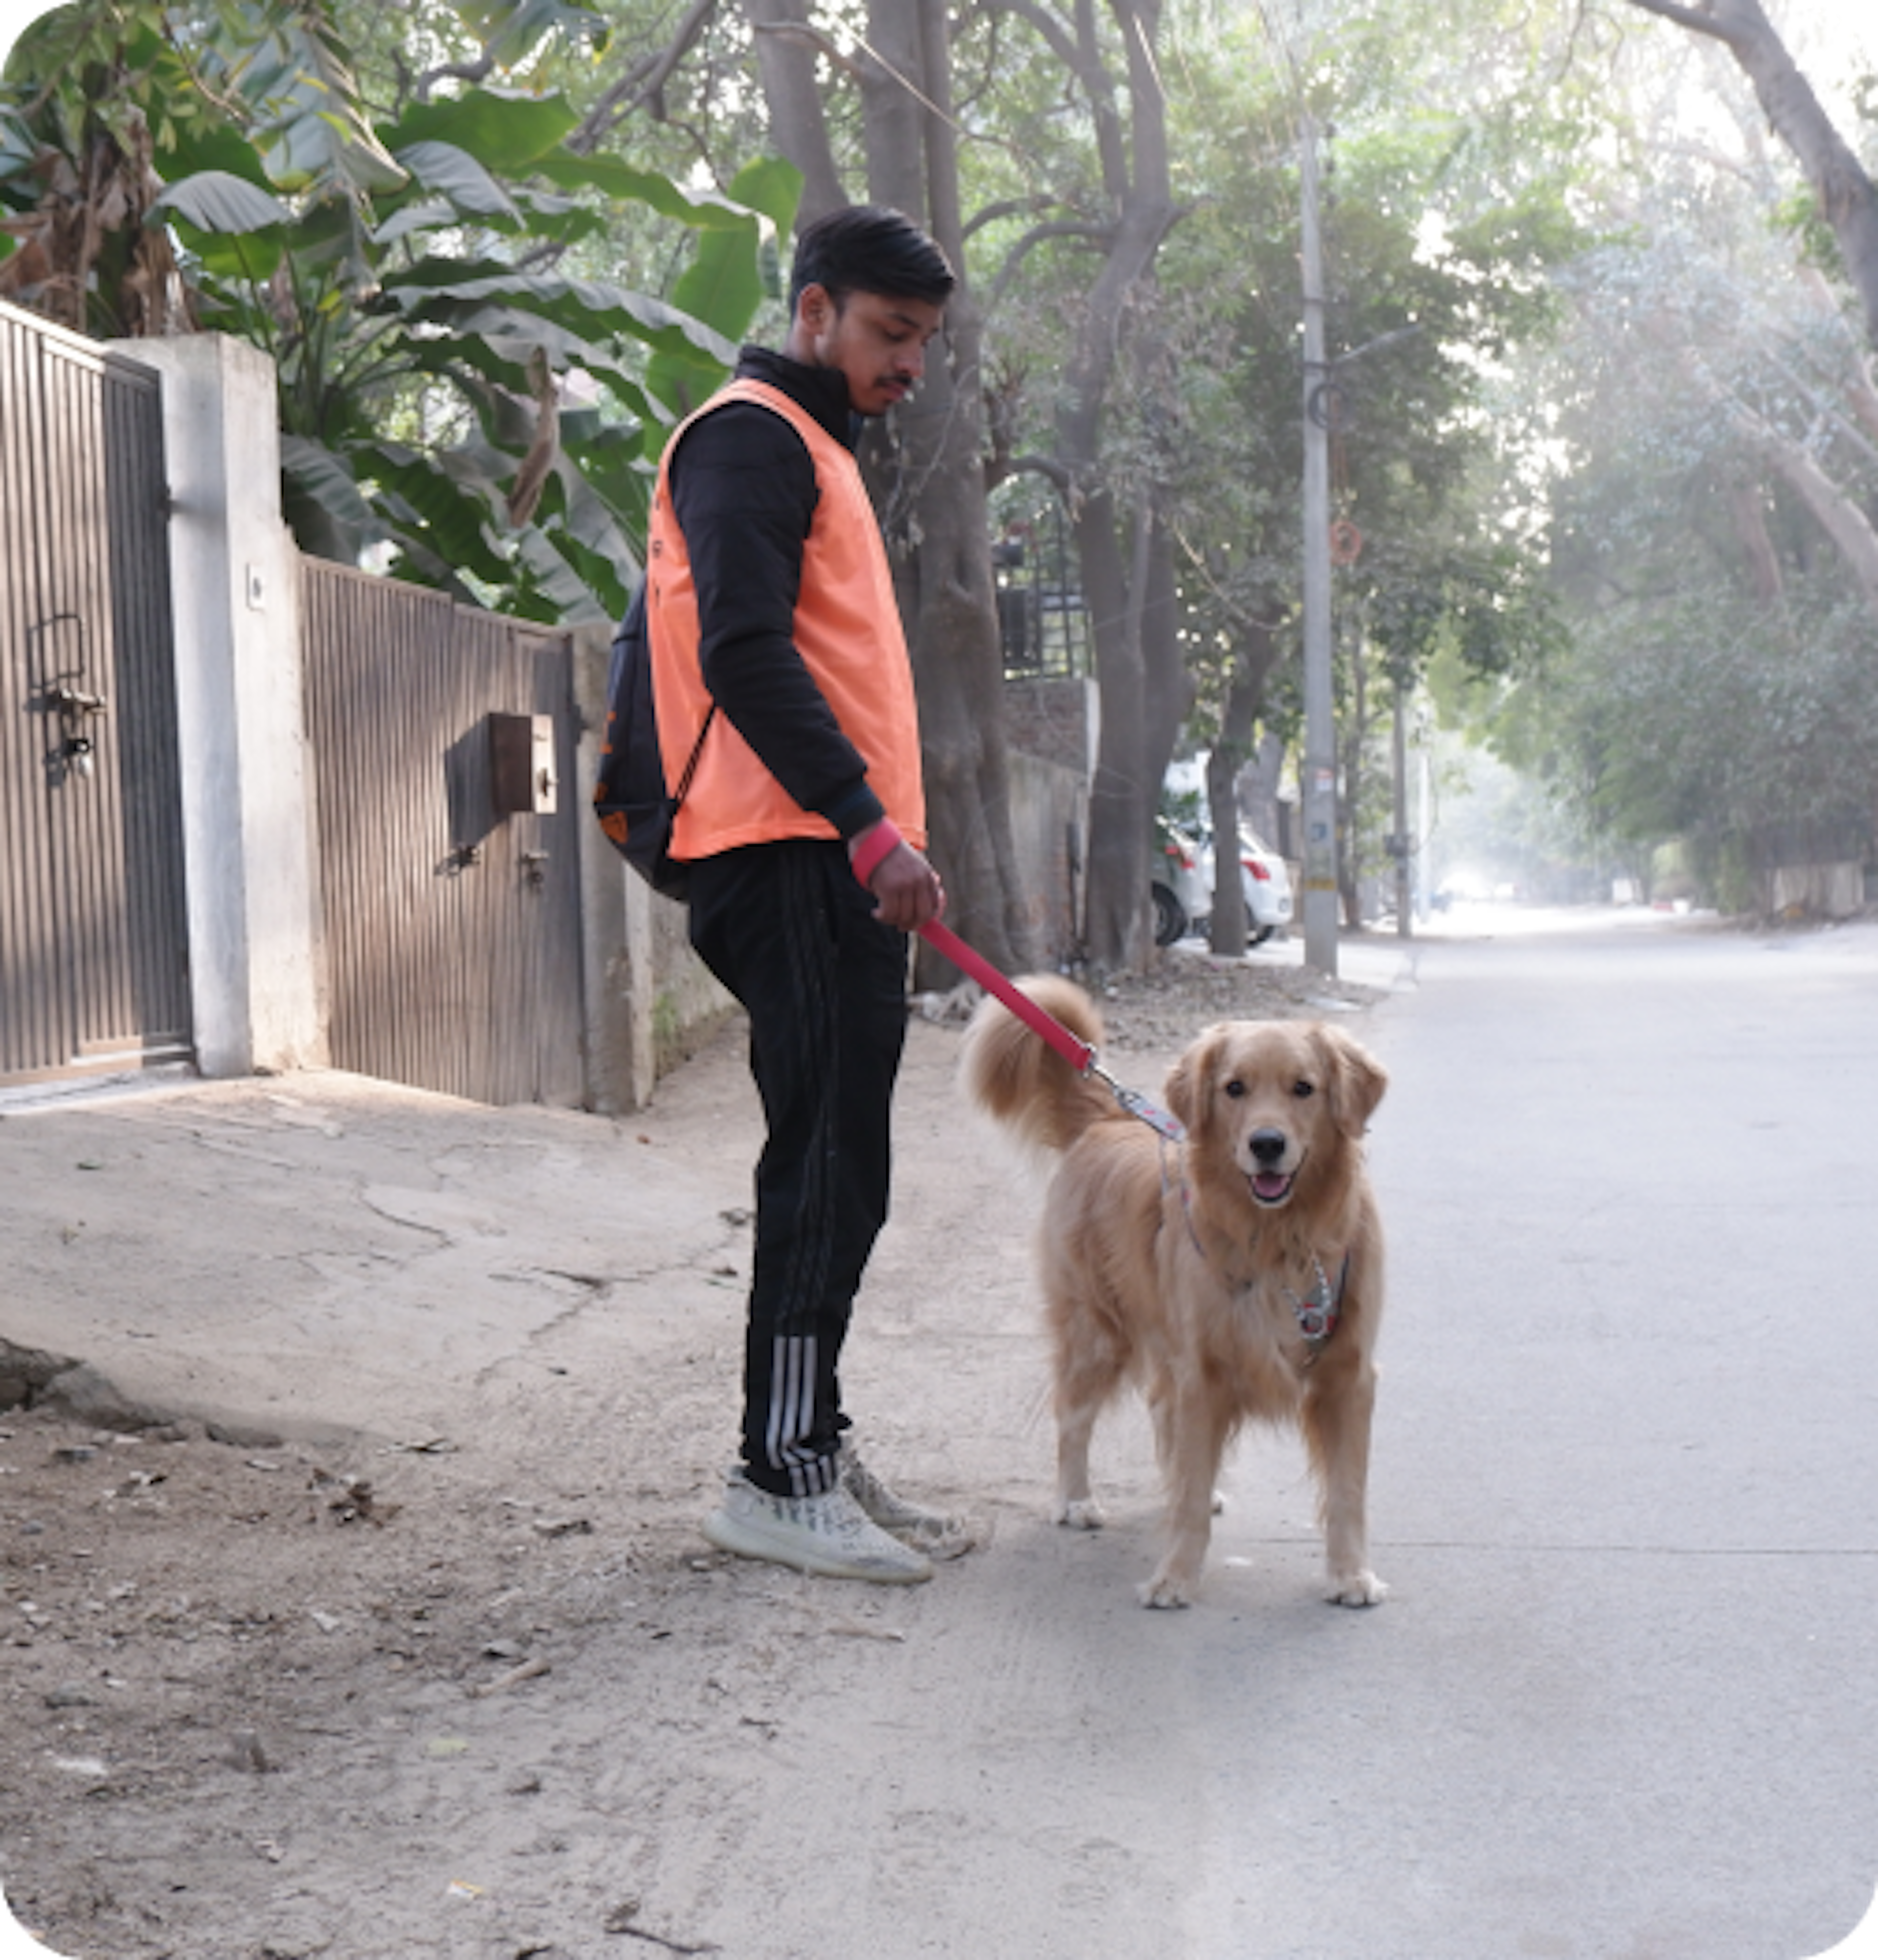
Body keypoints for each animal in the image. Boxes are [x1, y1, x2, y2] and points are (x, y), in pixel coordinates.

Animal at [964, 976, 1387, 1607]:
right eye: (1234, 1088)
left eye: (1304, 1088)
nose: (1267, 1144)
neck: (1281, 1239)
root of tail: (1104, 1120)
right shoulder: (1204, 1372)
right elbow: (1186, 1496)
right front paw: (1176, 1578)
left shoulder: (1348, 1375)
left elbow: (1348, 1492)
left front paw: (1352, 1575)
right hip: (1098, 1334)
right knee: (1073, 1416)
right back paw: (1076, 1500)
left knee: (1161, 1413)